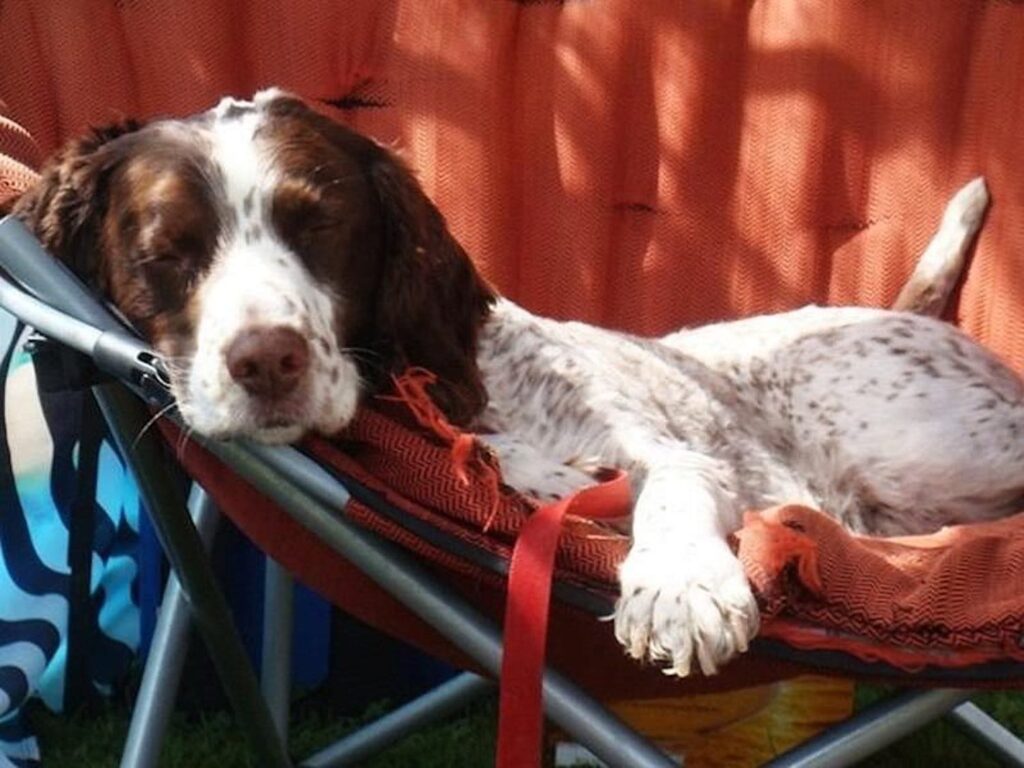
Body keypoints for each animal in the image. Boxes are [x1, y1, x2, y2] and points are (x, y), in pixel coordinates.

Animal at [6, 88, 1015, 679]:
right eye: (164, 253)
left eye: (320, 224)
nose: (266, 361)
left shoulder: (671, 458)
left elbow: (670, 498)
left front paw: (682, 588)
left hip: (930, 449)